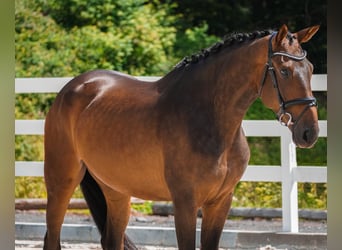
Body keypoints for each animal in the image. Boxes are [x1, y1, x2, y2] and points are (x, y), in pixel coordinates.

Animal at [44, 23, 320, 250]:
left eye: (310, 69)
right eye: (284, 71)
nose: (310, 132)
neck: (209, 118)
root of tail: (71, 88)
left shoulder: (220, 202)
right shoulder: (185, 203)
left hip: (116, 190)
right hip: (61, 181)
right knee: (52, 237)